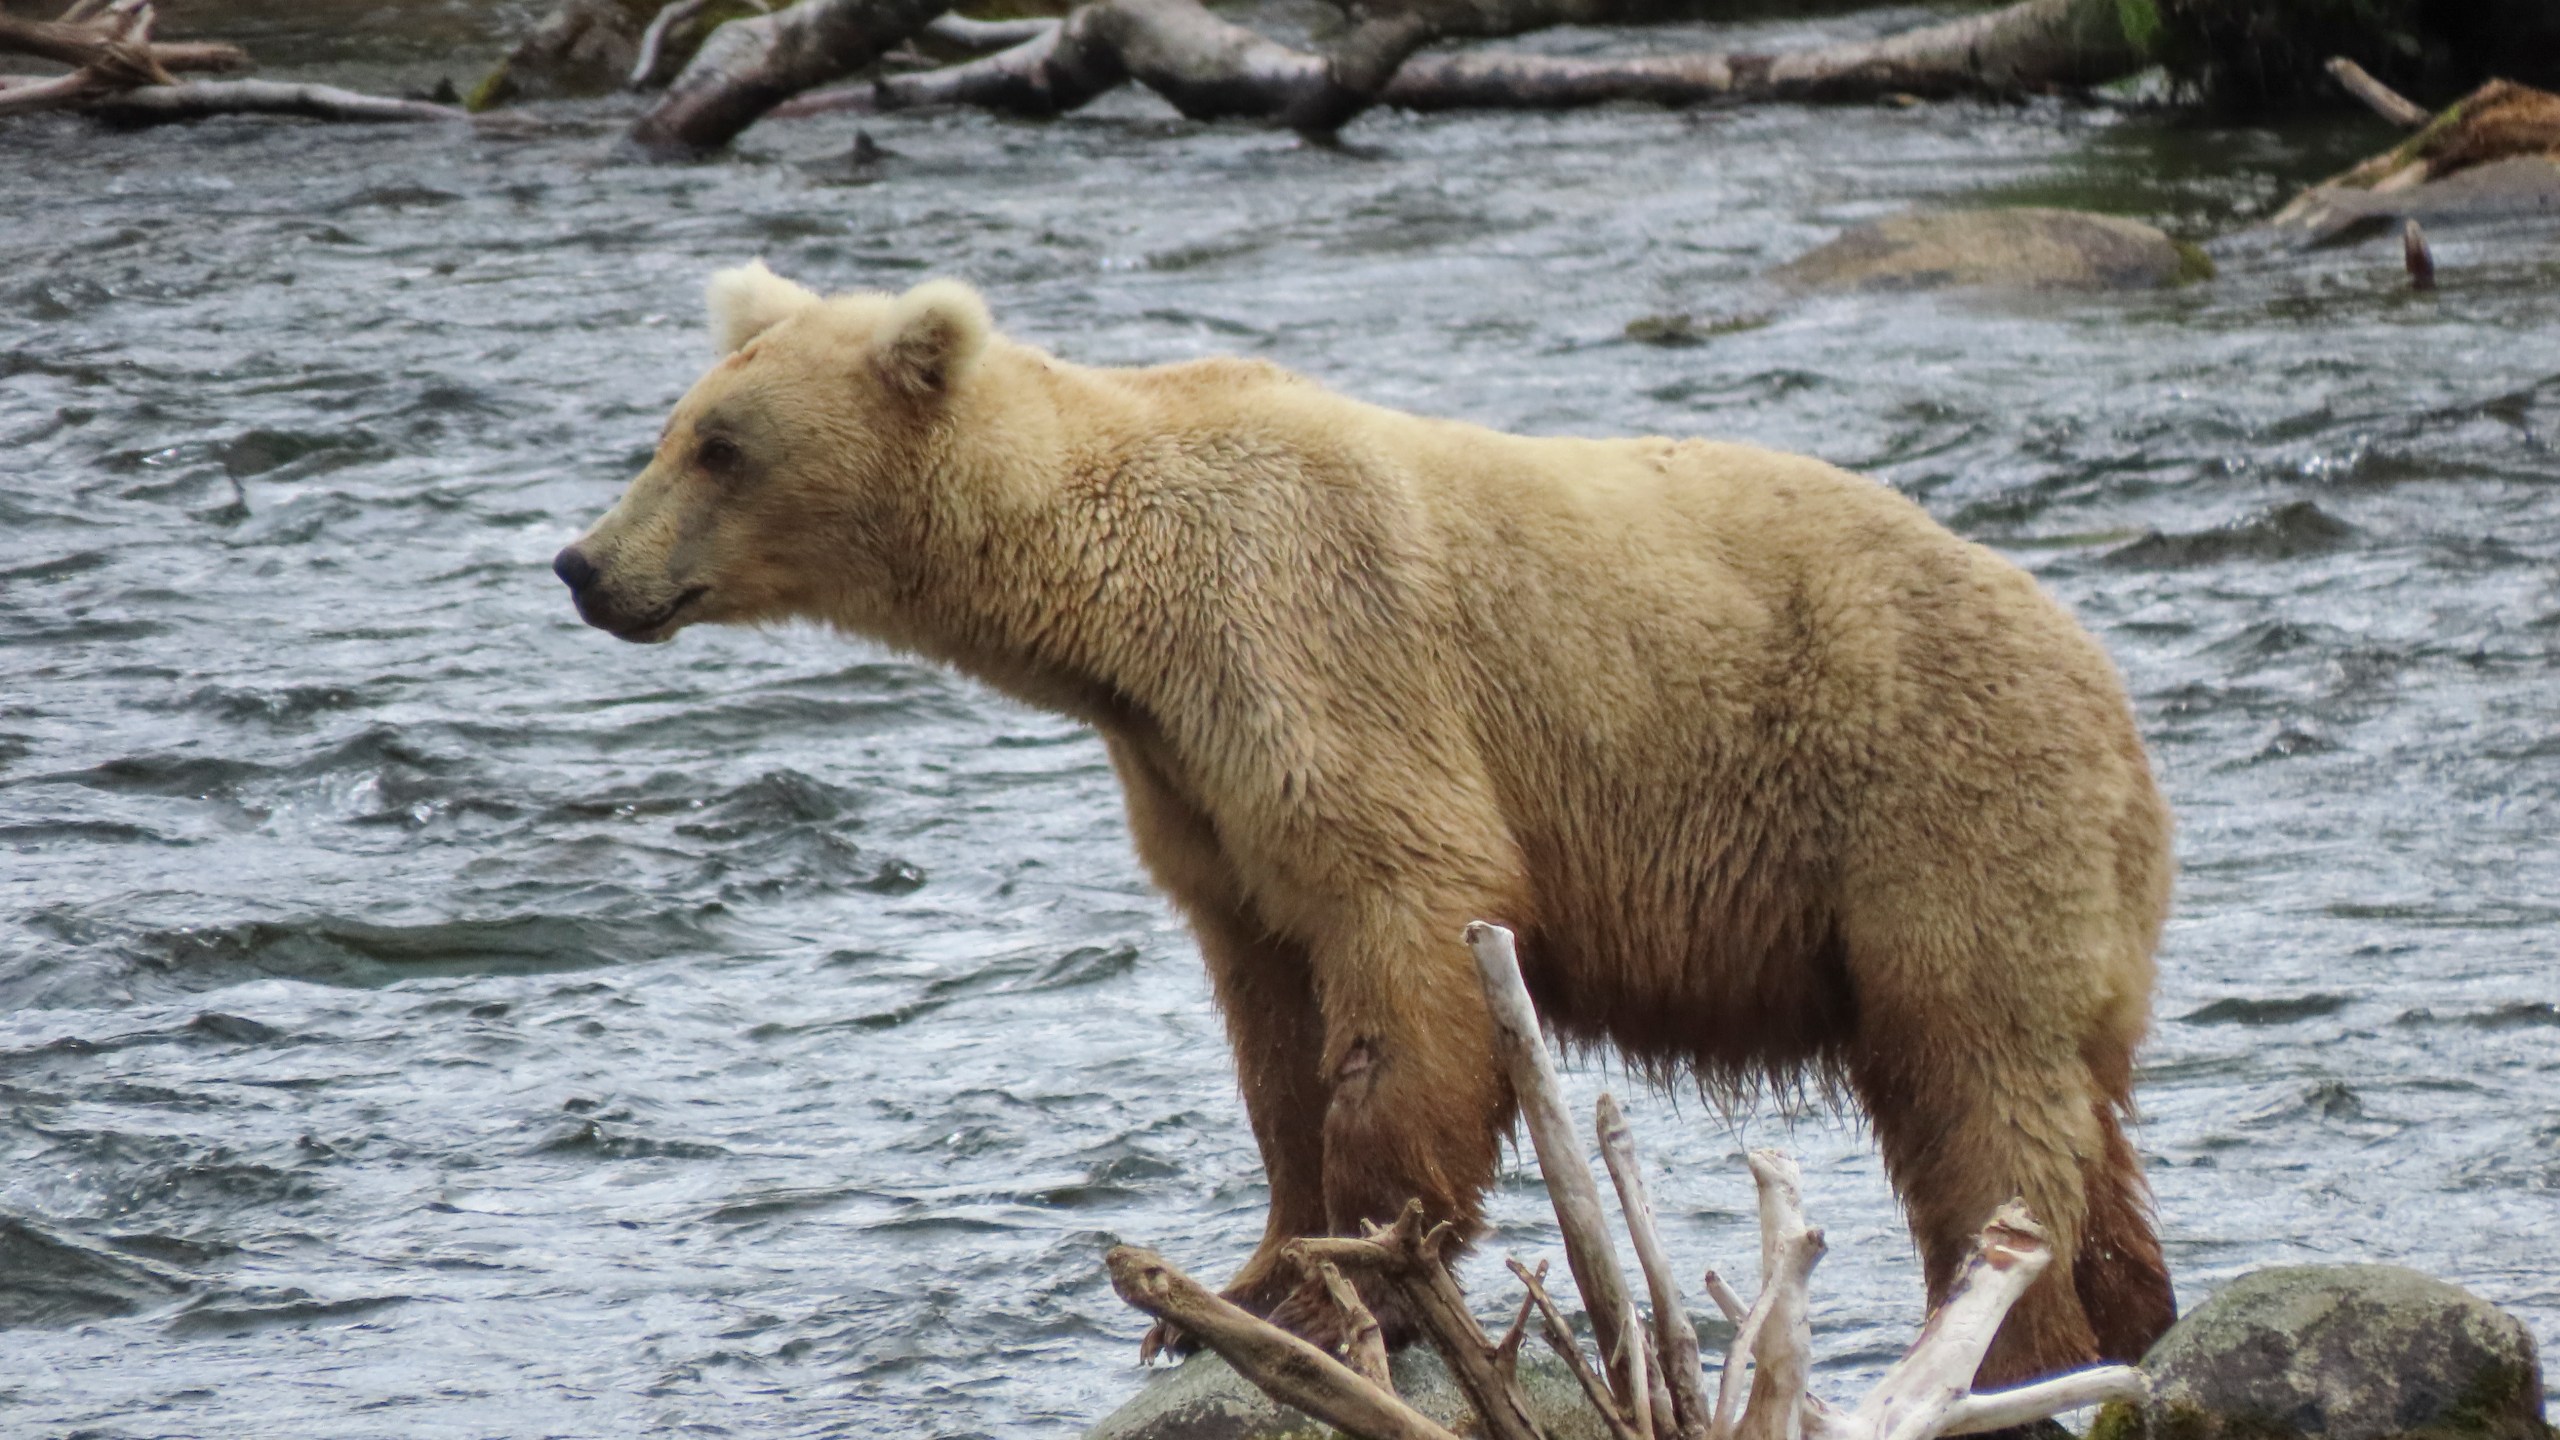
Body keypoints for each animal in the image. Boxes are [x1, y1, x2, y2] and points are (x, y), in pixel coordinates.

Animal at [560, 260, 2181, 1383]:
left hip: (1938, 813)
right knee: (2075, 1116)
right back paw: (2130, 1311)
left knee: (1978, 1092)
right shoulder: (1190, 788)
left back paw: (2016, 1336)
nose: (584, 565)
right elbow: (1270, 1022)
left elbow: (1403, 941)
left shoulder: (1311, 656)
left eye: (720, 447)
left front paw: (1357, 1276)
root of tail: (2112, 694)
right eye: (672, 426)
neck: (1115, 620)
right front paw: (1232, 1285)